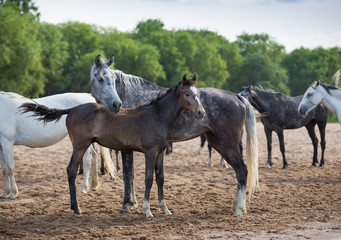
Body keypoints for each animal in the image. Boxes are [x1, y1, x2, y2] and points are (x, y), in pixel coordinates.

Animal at [21, 74, 207, 217]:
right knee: (71, 171)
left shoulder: (160, 152)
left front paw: (165, 209)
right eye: (186, 93)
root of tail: (72, 109)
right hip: (80, 146)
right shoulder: (150, 152)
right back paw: (77, 208)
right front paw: (147, 210)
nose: (201, 112)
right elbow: (148, 179)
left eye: (198, 93)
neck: (158, 116)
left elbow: (160, 178)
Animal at [87, 55, 258, 217]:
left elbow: (129, 175)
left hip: (228, 143)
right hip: (219, 143)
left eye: (113, 80)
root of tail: (236, 97)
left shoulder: (128, 149)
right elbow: (135, 175)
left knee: (242, 170)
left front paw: (126, 205)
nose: (116, 104)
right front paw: (134, 203)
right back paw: (237, 205)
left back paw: (239, 208)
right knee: (239, 170)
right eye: (100, 78)